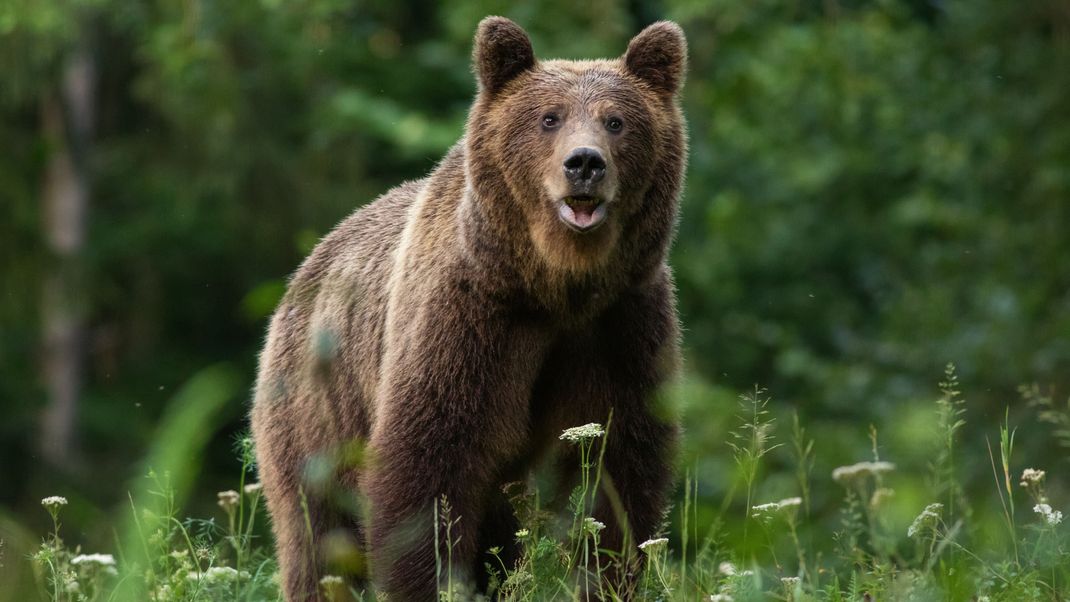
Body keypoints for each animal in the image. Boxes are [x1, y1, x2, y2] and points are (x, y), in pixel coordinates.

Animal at [249, 15, 684, 602]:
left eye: (616, 121)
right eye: (549, 118)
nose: (584, 163)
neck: (555, 285)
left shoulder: (620, 323)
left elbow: (618, 468)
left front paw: (606, 576)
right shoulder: (469, 318)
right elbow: (430, 463)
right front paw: (432, 580)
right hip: (316, 406)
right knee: (317, 532)